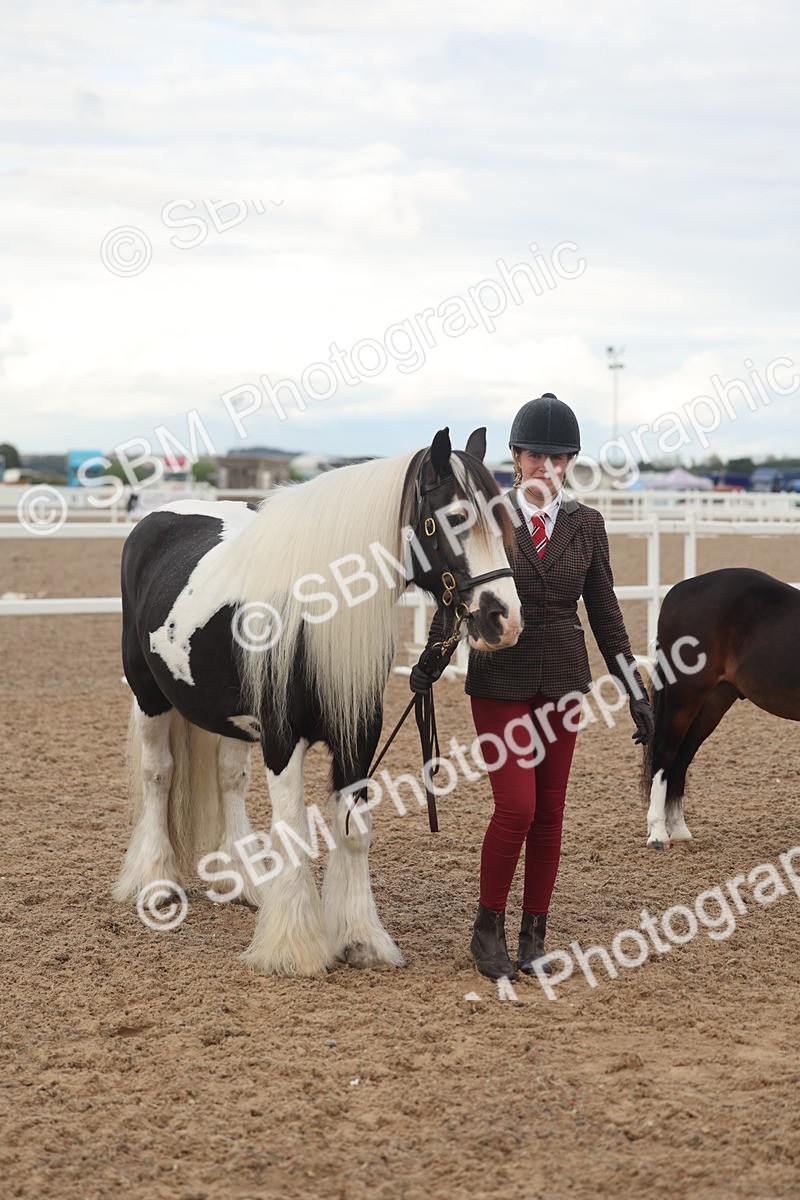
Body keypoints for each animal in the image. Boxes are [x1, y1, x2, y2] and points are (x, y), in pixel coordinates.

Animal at [113, 427, 523, 975]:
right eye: (456, 518)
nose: (505, 619)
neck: (311, 615)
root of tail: (156, 520)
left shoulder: (356, 736)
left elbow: (353, 832)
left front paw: (360, 939)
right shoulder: (283, 740)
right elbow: (291, 830)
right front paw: (294, 948)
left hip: (229, 718)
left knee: (228, 780)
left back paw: (245, 882)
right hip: (149, 695)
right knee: (157, 775)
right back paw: (156, 883)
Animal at [642, 566, 800, 849]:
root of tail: (677, 592)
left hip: (714, 700)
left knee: (681, 759)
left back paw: (679, 830)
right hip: (686, 694)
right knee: (665, 753)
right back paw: (658, 834)